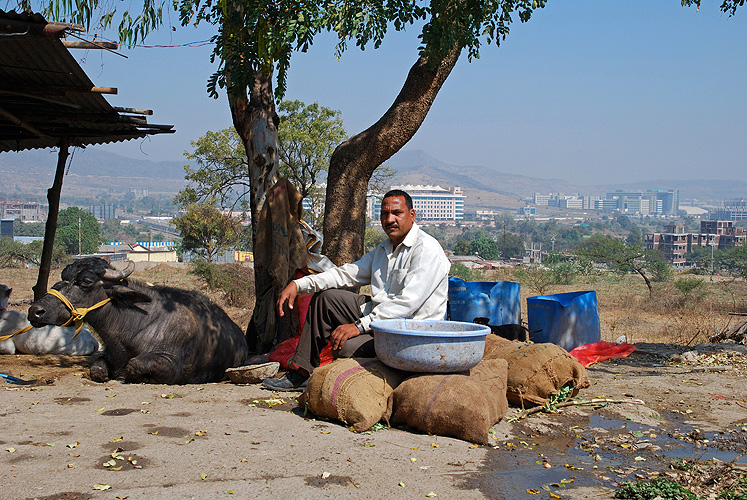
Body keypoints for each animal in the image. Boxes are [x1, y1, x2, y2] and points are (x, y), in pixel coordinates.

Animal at [27, 258, 248, 382]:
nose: (35, 311)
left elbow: (134, 365)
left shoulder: (171, 363)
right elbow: (97, 369)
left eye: (86, 281)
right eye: (63, 278)